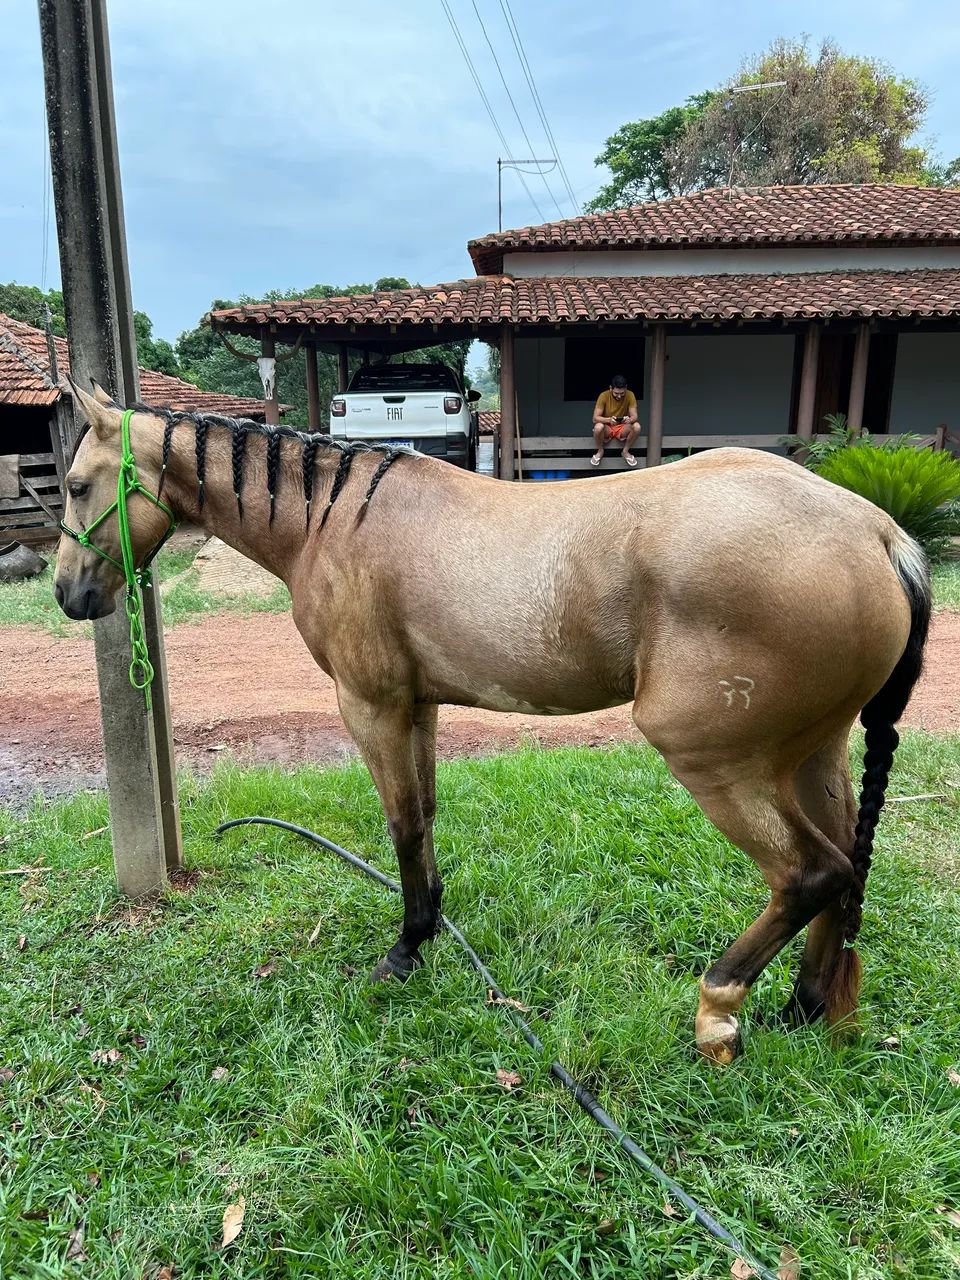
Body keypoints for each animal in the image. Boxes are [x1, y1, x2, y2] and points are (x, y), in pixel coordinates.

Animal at [54, 382, 930, 1064]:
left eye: (73, 484)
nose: (69, 595)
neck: (337, 520)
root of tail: (878, 532)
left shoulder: (370, 705)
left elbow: (402, 823)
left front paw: (404, 951)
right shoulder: (419, 706)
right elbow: (426, 815)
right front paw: (427, 931)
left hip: (718, 760)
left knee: (812, 873)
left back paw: (717, 1012)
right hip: (810, 753)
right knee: (846, 865)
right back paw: (804, 1006)